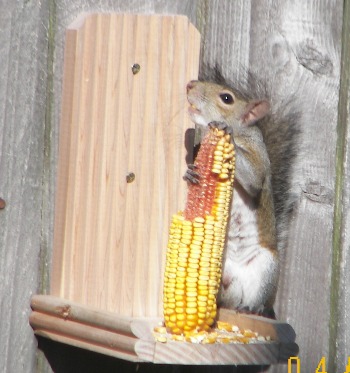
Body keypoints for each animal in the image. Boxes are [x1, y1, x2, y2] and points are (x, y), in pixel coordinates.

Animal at [183, 67, 300, 316]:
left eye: (227, 98)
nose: (190, 85)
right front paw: (190, 173)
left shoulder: (259, 157)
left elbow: (254, 180)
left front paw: (228, 135)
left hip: (265, 267)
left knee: (255, 298)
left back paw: (252, 307)